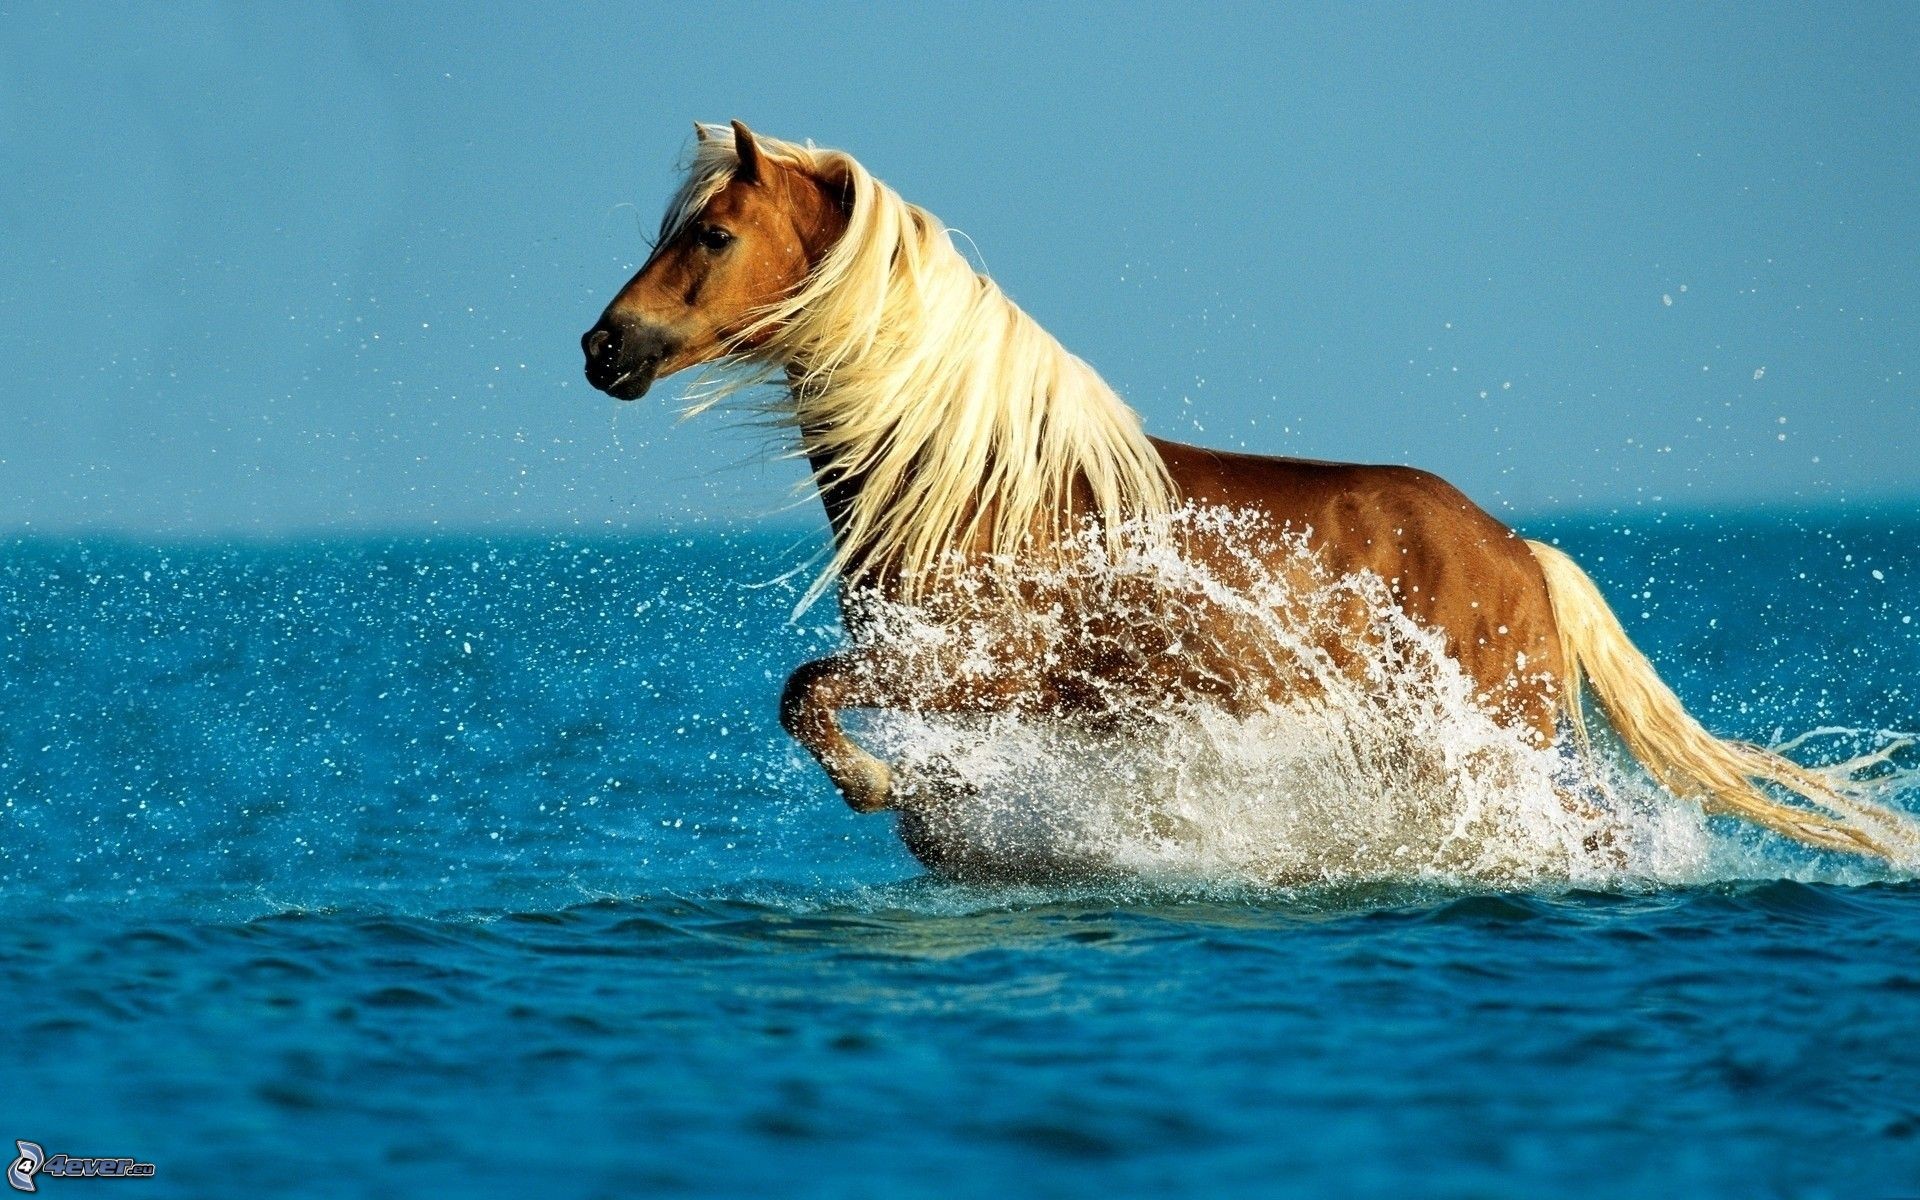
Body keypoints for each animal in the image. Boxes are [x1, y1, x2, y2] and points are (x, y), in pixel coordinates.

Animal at [581, 120, 1913, 869]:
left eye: (710, 235)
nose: (605, 348)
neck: (977, 484)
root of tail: (1523, 553)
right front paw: (933, 814)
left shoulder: (972, 669)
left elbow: (806, 695)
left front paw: (877, 786)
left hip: (1494, 744)